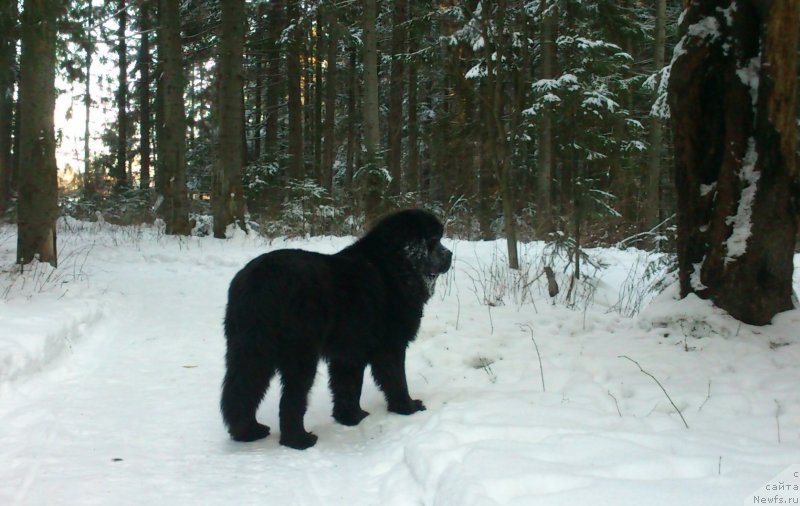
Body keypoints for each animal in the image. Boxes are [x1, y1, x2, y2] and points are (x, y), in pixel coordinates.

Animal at [222, 208, 454, 448]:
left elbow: (347, 387)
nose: (450, 254)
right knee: (291, 398)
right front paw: (407, 407)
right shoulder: (390, 346)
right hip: (300, 353)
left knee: (241, 389)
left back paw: (248, 432)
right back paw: (299, 440)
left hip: (250, 349)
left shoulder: (349, 352)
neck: (395, 266)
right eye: (433, 241)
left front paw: (351, 417)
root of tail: (261, 281)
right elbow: (396, 379)